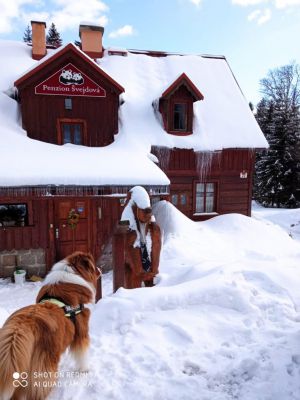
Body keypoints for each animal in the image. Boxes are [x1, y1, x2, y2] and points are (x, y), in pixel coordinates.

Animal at [0, 252, 101, 398]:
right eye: (94, 265)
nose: (100, 269)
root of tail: (20, 327)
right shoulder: (81, 333)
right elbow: (83, 354)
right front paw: (84, 370)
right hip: (44, 366)